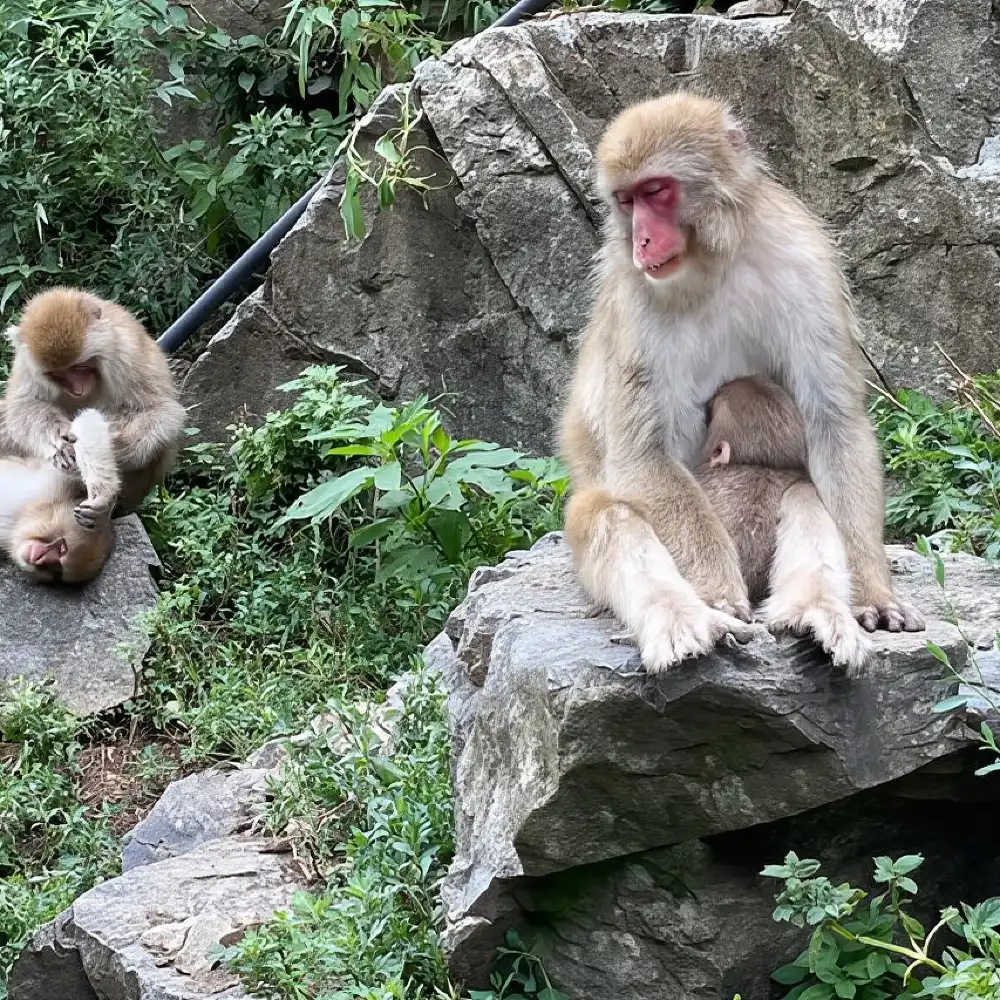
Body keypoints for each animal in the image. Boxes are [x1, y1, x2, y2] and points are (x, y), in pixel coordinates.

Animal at [2, 287, 185, 513]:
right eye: (56, 374)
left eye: (79, 366)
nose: (77, 390)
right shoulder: (24, 364)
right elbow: (23, 407)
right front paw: (58, 443)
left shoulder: (126, 351)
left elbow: (160, 409)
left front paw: (115, 444)